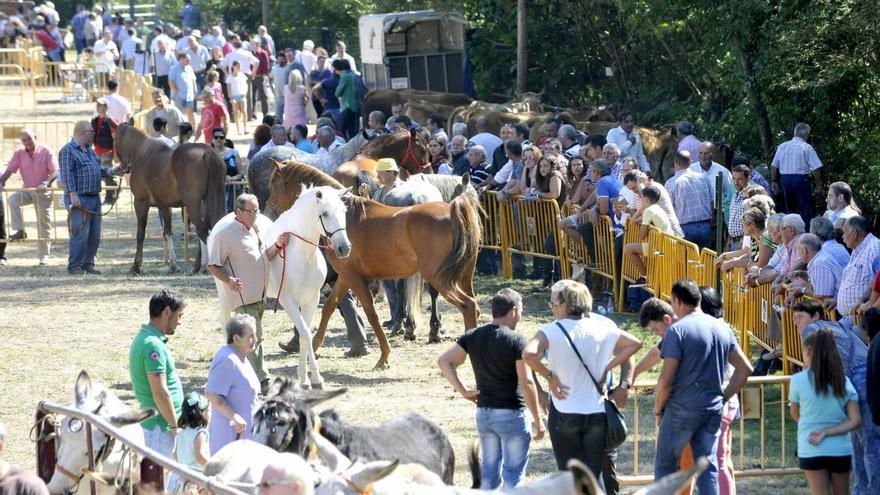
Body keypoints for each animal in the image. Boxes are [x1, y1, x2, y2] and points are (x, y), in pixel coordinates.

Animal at [114, 123, 227, 276]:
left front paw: (135, 267)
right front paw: (173, 265)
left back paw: (204, 266)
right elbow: (167, 232)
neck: (142, 153)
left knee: (202, 230)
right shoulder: (164, 206)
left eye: (114, 139)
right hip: (207, 202)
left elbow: (140, 234)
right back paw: (196, 267)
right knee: (209, 227)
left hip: (193, 204)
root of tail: (206, 152)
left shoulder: (140, 202)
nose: (120, 166)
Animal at [210, 186, 350, 392]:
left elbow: (305, 335)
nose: (344, 248)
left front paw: (313, 378)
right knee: (225, 320)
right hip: (225, 293)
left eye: (344, 211)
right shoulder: (288, 301)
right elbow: (305, 334)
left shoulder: (312, 299)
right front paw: (307, 379)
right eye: (324, 213)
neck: (301, 255)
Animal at [268, 161, 482, 370]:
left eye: (274, 184)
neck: (347, 222)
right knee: (474, 306)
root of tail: (453, 211)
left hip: (439, 278)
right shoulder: (345, 276)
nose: (269, 209)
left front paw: (383, 357)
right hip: (463, 276)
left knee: (468, 305)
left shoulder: (354, 278)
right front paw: (314, 346)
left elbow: (370, 313)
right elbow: (329, 307)